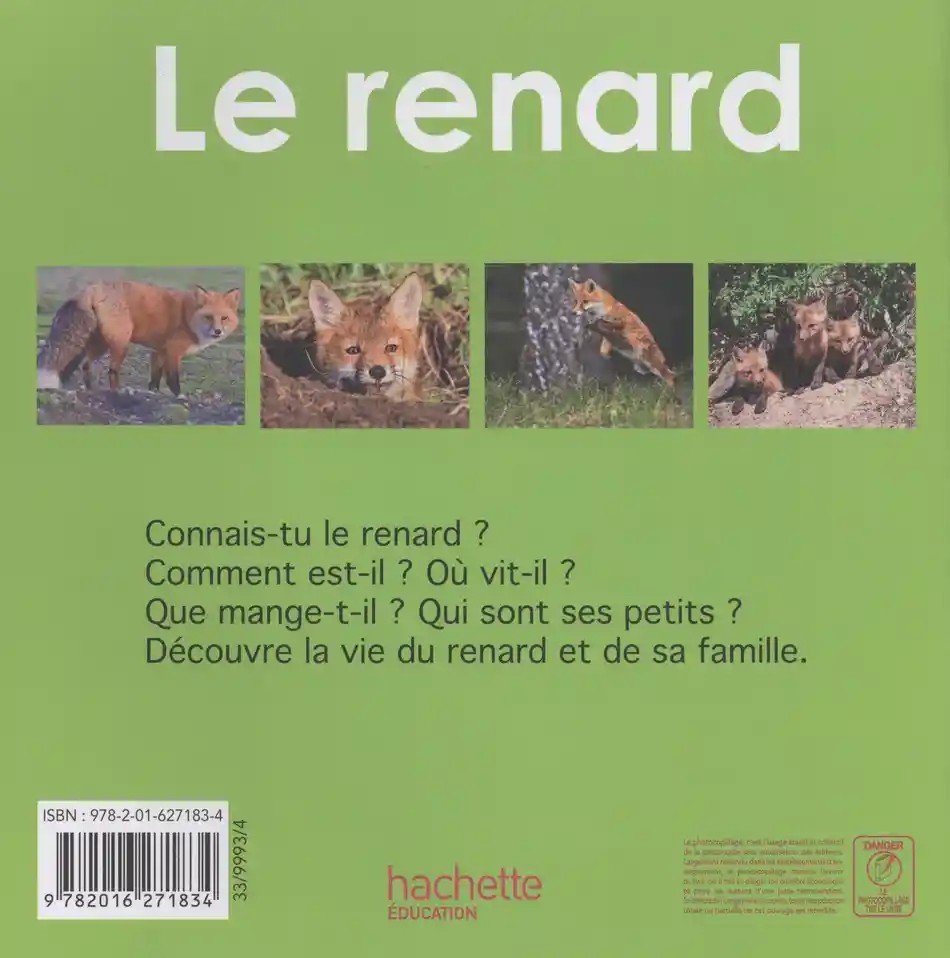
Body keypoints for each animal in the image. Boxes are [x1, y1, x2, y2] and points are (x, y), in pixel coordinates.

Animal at [36, 282, 240, 395]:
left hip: (100, 344)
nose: (217, 332)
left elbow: (154, 379)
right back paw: (117, 391)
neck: (187, 316)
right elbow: (173, 379)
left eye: (224, 318)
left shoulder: (158, 352)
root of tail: (90, 289)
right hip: (121, 343)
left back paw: (91, 389)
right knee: (111, 371)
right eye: (208, 317)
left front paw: (154, 393)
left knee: (85, 365)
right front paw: (178, 396)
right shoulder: (173, 352)